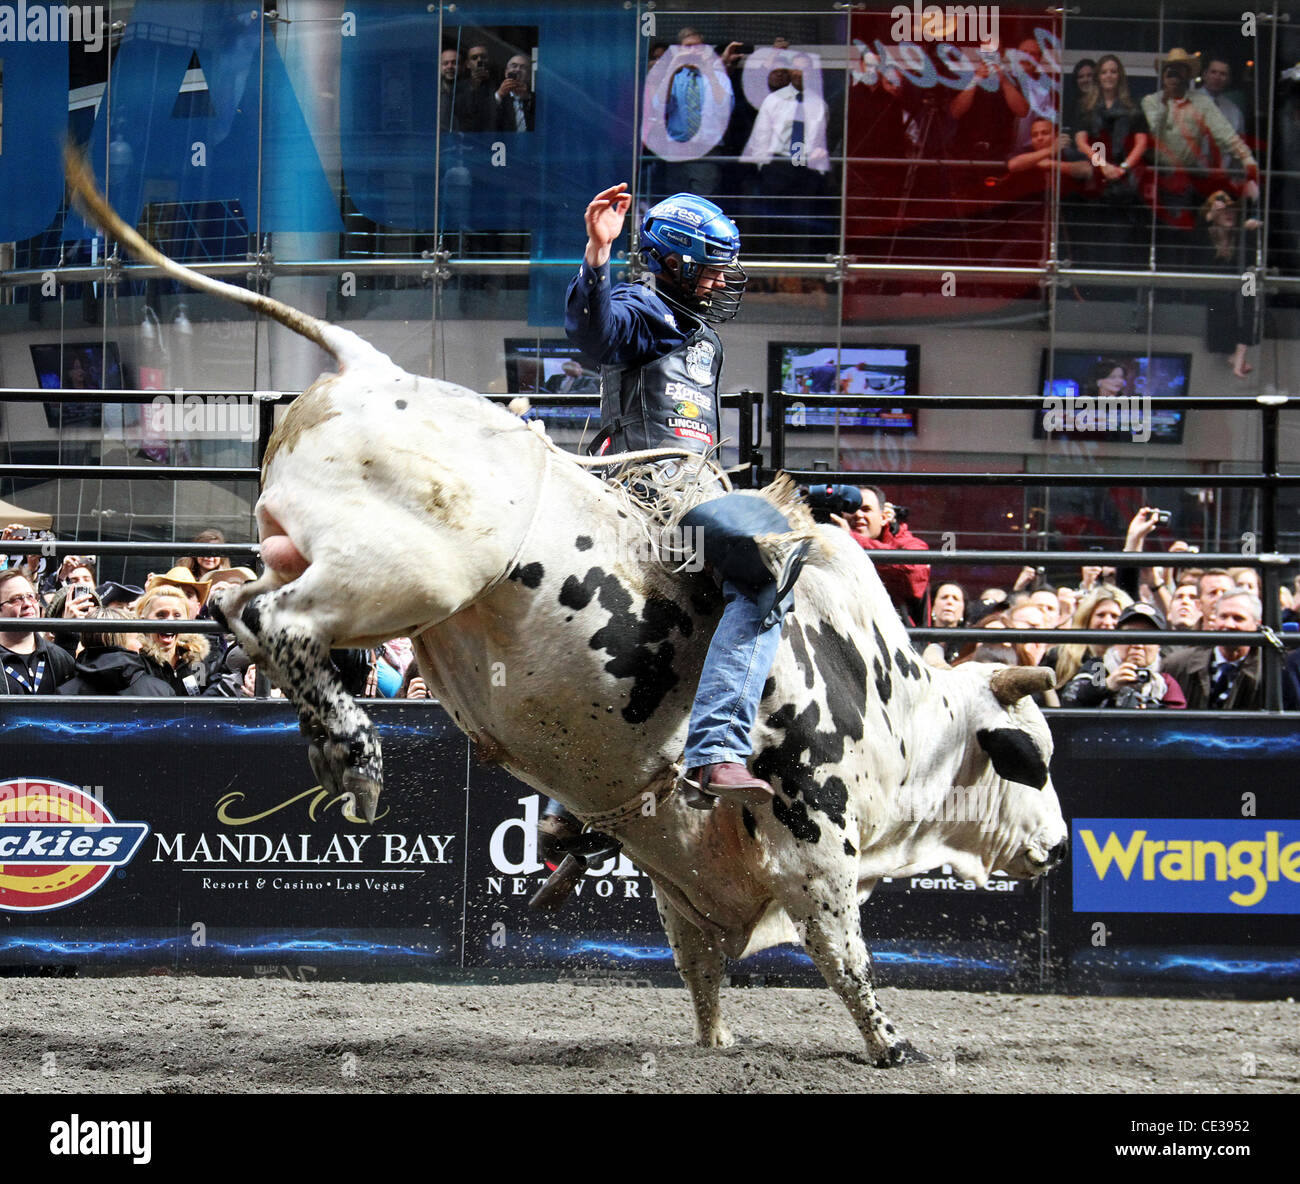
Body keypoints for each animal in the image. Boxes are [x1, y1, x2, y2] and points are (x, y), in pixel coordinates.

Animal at [68, 150, 1066, 1076]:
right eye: (1035, 757)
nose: (1060, 848)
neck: (895, 703)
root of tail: (372, 365)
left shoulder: (684, 867)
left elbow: (699, 962)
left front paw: (717, 1042)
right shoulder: (816, 835)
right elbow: (842, 950)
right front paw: (893, 1044)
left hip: (314, 558)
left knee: (237, 604)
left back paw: (333, 735)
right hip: (401, 574)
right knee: (281, 621)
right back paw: (356, 753)